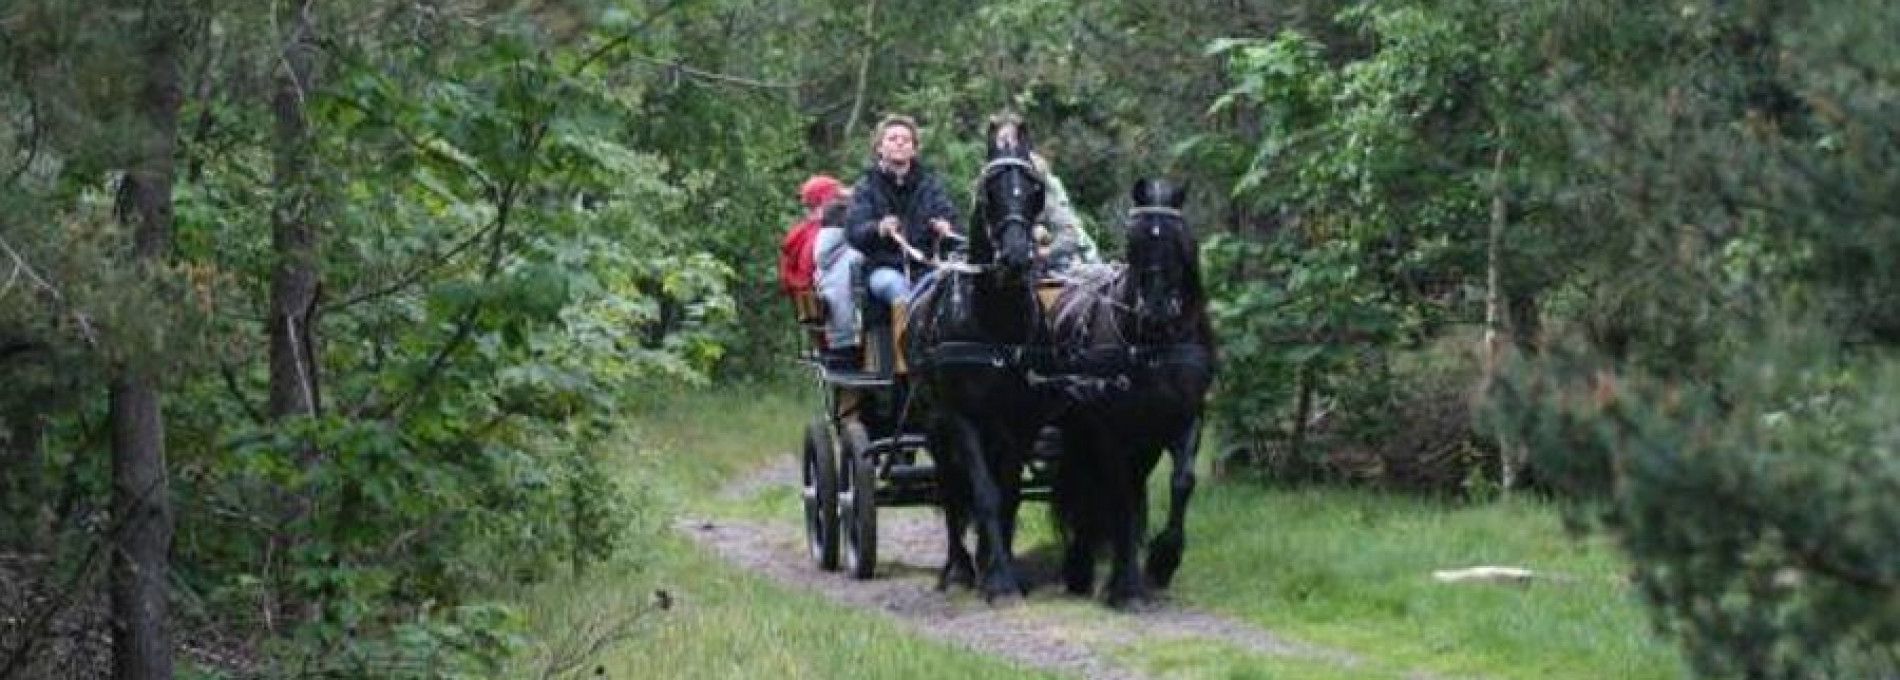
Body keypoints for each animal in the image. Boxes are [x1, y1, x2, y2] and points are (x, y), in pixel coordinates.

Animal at [908, 114, 1056, 596]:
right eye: (989, 190)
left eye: (1034, 190)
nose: (1015, 257)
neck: (996, 320)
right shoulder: (963, 418)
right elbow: (984, 494)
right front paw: (998, 580)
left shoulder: (1023, 418)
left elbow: (1008, 494)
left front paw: (1002, 567)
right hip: (934, 426)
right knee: (951, 489)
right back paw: (957, 567)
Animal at [1048, 177, 1208, 607]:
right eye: (1133, 239)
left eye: (1179, 238)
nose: (1156, 307)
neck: (1154, 343)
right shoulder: (1110, 428)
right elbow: (1117, 496)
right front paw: (1125, 585)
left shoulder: (1186, 417)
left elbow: (1182, 482)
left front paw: (1163, 560)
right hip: (1080, 430)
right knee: (1090, 484)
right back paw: (1080, 566)